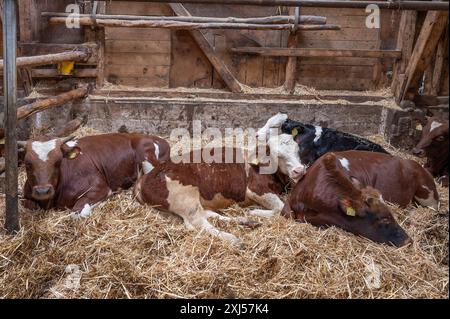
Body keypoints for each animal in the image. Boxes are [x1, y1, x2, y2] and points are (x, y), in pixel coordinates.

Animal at [21, 132, 170, 218]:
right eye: (27, 163)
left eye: (58, 161)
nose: (43, 191)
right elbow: (28, 205)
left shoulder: (99, 188)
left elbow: (78, 214)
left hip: (147, 158)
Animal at [134, 135, 306, 245]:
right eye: (278, 156)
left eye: (298, 150)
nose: (299, 170)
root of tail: (145, 177)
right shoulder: (256, 189)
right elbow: (282, 209)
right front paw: (254, 211)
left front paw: (251, 214)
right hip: (185, 197)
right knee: (197, 222)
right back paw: (233, 239)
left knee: (207, 215)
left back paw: (246, 221)